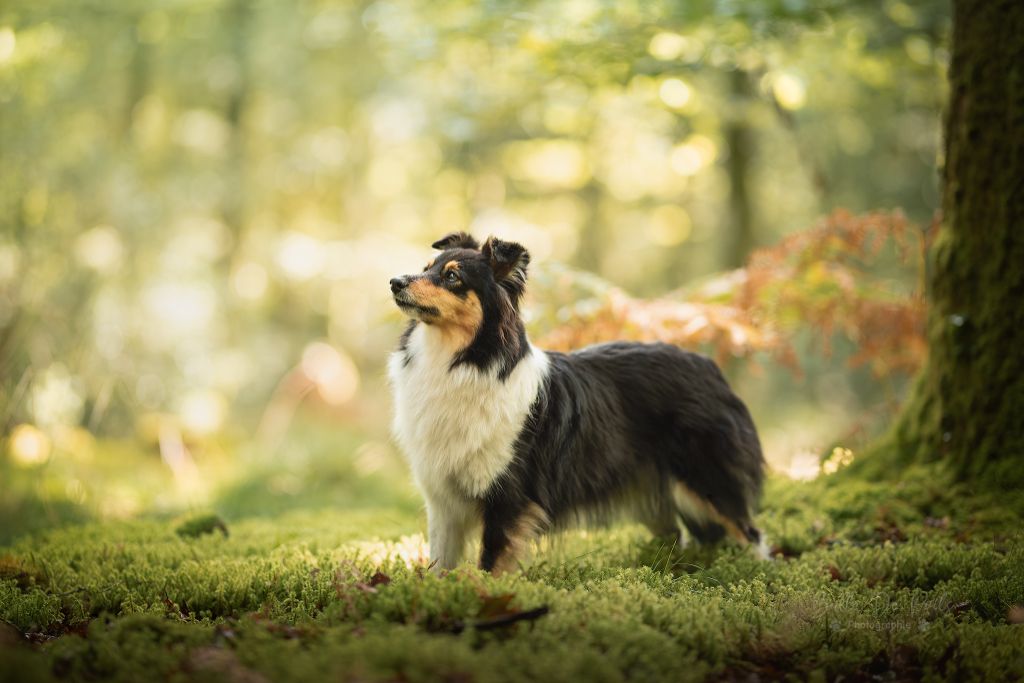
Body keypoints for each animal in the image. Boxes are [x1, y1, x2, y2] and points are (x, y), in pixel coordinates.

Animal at [387, 232, 765, 573]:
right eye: (426, 268)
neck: (465, 361)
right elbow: (439, 563)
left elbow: (491, 563)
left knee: (751, 533)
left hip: (707, 480)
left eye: (452, 276)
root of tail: (709, 366)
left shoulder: (509, 496)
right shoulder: (443, 501)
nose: (394, 281)